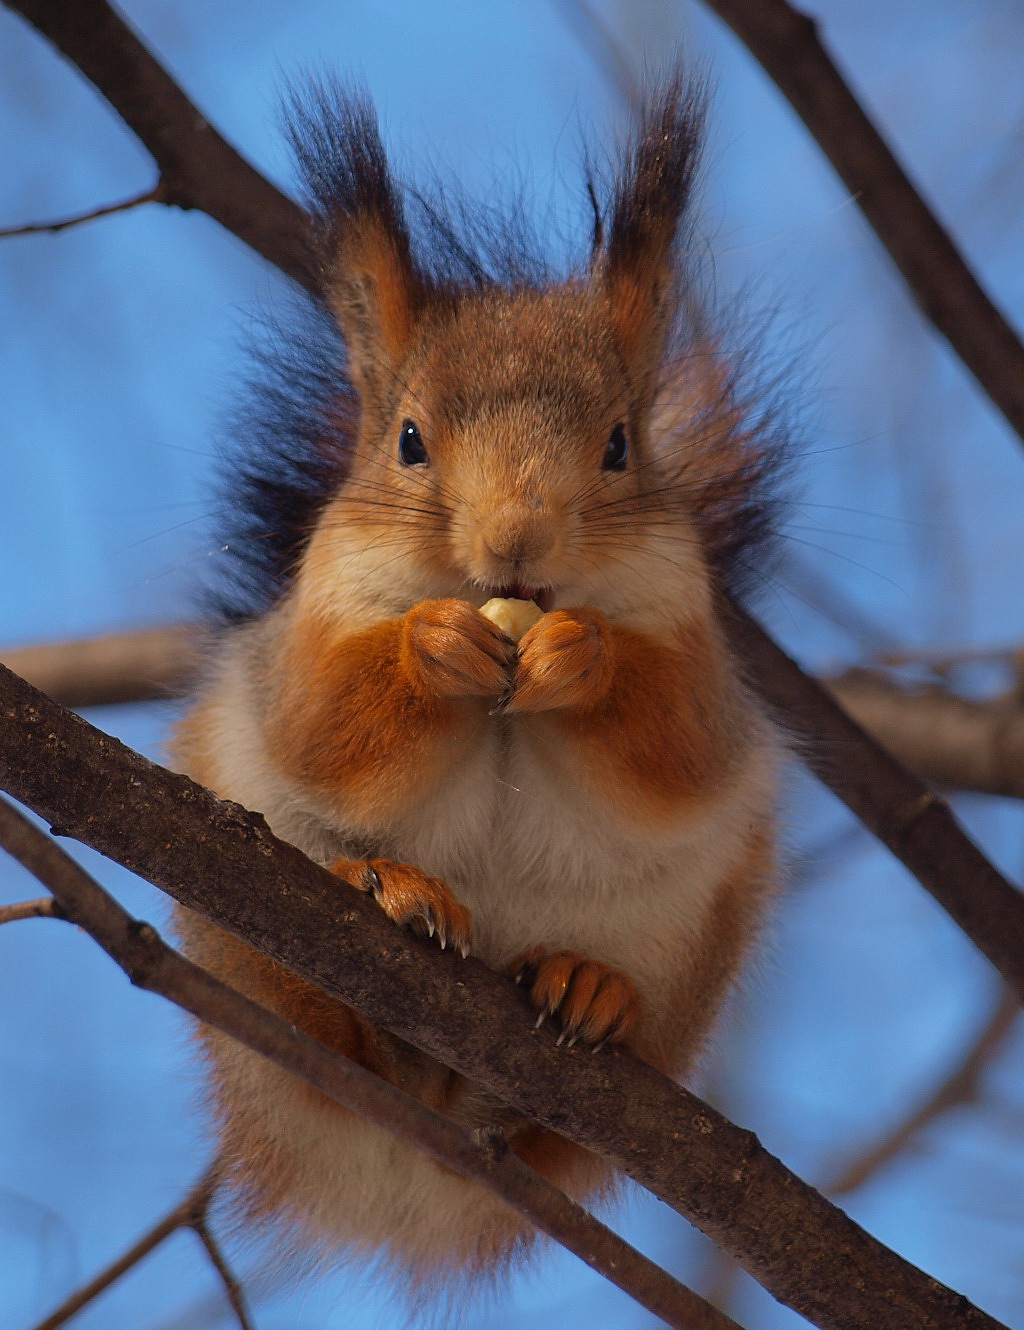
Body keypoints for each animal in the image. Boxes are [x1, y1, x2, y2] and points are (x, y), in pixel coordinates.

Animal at [172, 77, 781, 1282]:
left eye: (619, 445)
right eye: (409, 440)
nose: (514, 542)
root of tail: (409, 1174)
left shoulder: (706, 674)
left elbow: (673, 755)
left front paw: (581, 658)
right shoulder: (297, 651)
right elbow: (324, 728)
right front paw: (434, 648)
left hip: (695, 939)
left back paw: (588, 988)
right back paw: (390, 900)